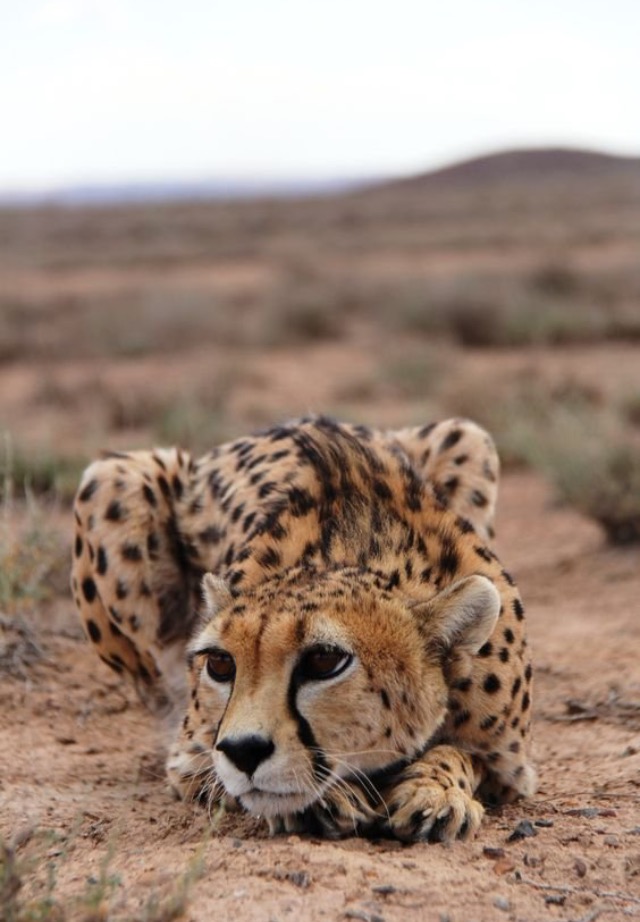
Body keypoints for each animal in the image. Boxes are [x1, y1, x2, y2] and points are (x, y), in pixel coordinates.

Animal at [71, 415, 535, 842]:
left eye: (324, 661)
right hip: (111, 478)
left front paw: (434, 792)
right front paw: (328, 798)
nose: (242, 751)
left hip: (468, 435)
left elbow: (459, 755)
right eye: (220, 664)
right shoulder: (189, 757)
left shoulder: (509, 766)